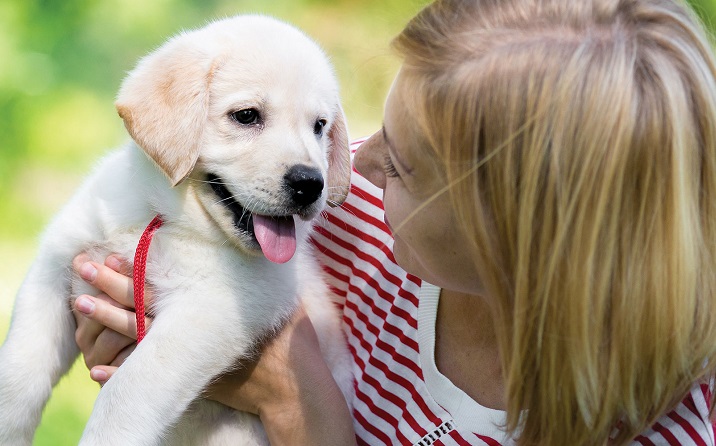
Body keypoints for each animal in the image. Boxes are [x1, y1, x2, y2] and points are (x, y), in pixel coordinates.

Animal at [0, 14, 354, 446]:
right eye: (247, 116)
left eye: (319, 126)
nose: (310, 184)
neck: (164, 219)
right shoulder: (53, 268)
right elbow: (19, 372)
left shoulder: (210, 310)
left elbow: (128, 390)